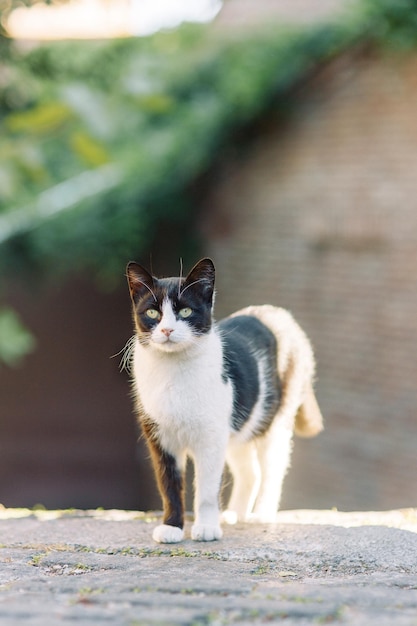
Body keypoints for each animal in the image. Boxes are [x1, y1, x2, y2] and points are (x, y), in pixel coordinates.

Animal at [125, 258, 324, 540]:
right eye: (152, 313)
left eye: (185, 311)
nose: (167, 329)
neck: (174, 372)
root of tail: (280, 315)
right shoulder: (161, 438)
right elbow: (169, 486)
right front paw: (171, 527)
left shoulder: (211, 437)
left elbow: (207, 488)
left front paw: (207, 527)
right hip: (238, 428)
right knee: (250, 472)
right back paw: (234, 514)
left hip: (275, 420)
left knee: (272, 469)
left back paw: (261, 514)